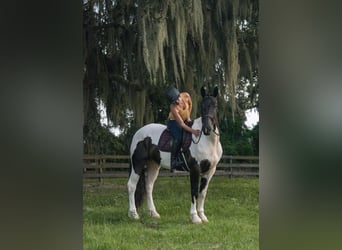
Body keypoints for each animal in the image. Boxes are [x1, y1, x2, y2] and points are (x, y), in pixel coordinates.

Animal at [127, 87, 223, 224]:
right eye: (202, 106)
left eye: (215, 105)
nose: (207, 129)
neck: (208, 141)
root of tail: (138, 133)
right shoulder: (195, 169)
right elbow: (194, 192)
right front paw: (195, 217)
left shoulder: (210, 171)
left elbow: (202, 193)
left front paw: (203, 216)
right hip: (137, 164)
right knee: (131, 186)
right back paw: (133, 214)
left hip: (153, 165)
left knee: (149, 186)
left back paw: (154, 213)